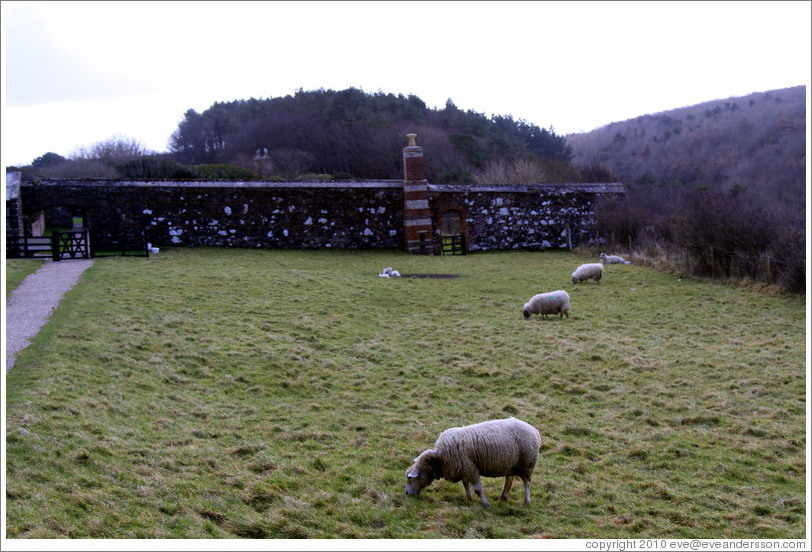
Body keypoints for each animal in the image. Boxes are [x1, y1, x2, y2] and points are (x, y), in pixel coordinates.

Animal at [404, 416, 544, 506]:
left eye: (410, 479)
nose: (406, 493)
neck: (440, 458)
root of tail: (535, 430)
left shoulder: (470, 468)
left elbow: (478, 489)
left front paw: (486, 504)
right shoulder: (463, 469)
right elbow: (465, 484)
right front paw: (468, 498)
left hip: (527, 463)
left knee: (526, 483)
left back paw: (526, 502)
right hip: (511, 464)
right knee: (509, 480)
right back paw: (503, 497)